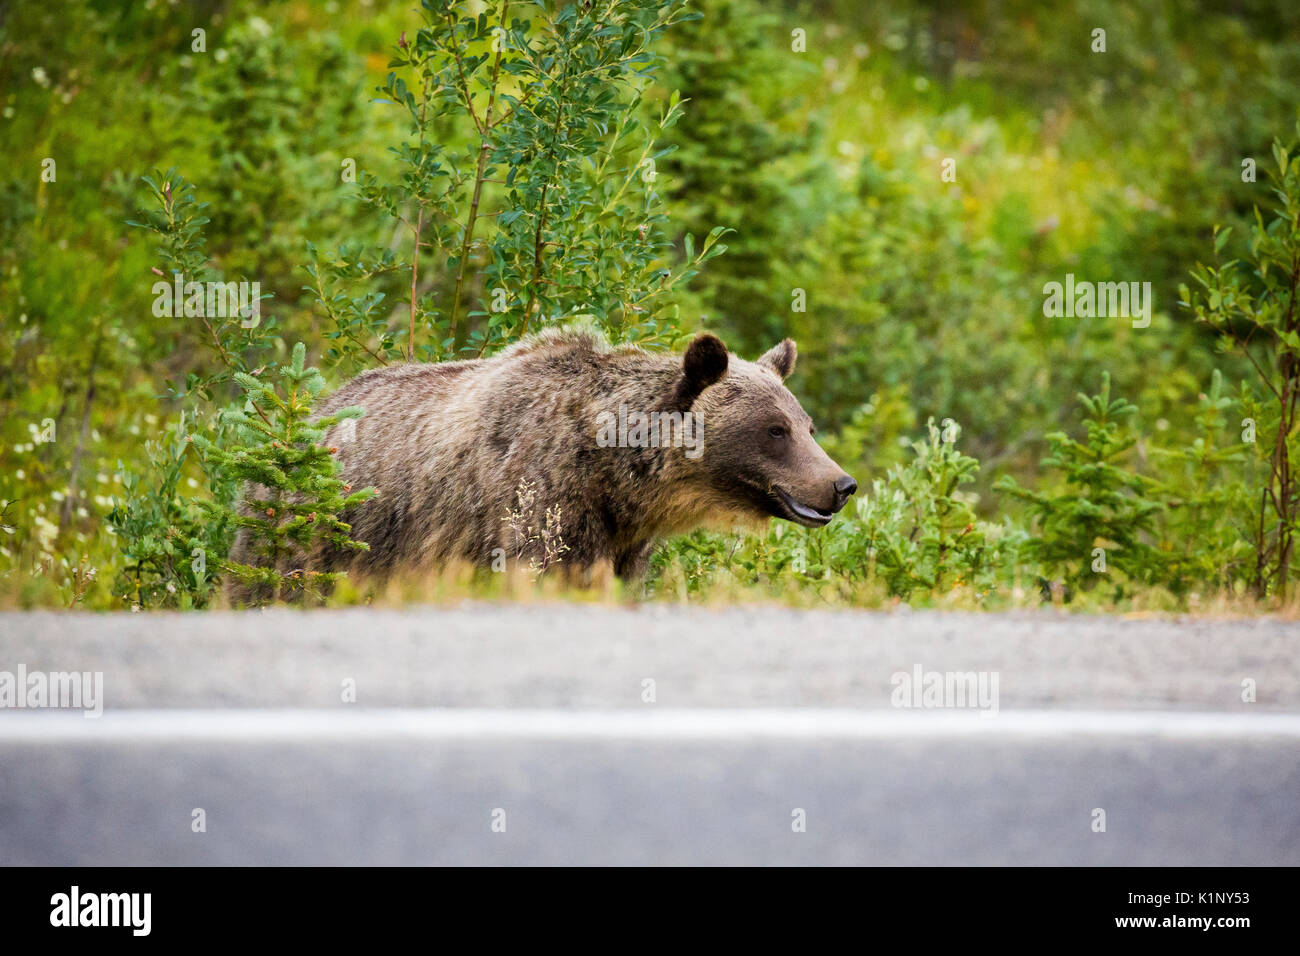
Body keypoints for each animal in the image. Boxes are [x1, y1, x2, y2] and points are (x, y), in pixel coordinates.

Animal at [225, 323, 856, 600]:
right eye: (774, 430)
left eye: (806, 425)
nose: (841, 484)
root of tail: (309, 411)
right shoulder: (538, 502)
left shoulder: (622, 541)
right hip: (316, 532)